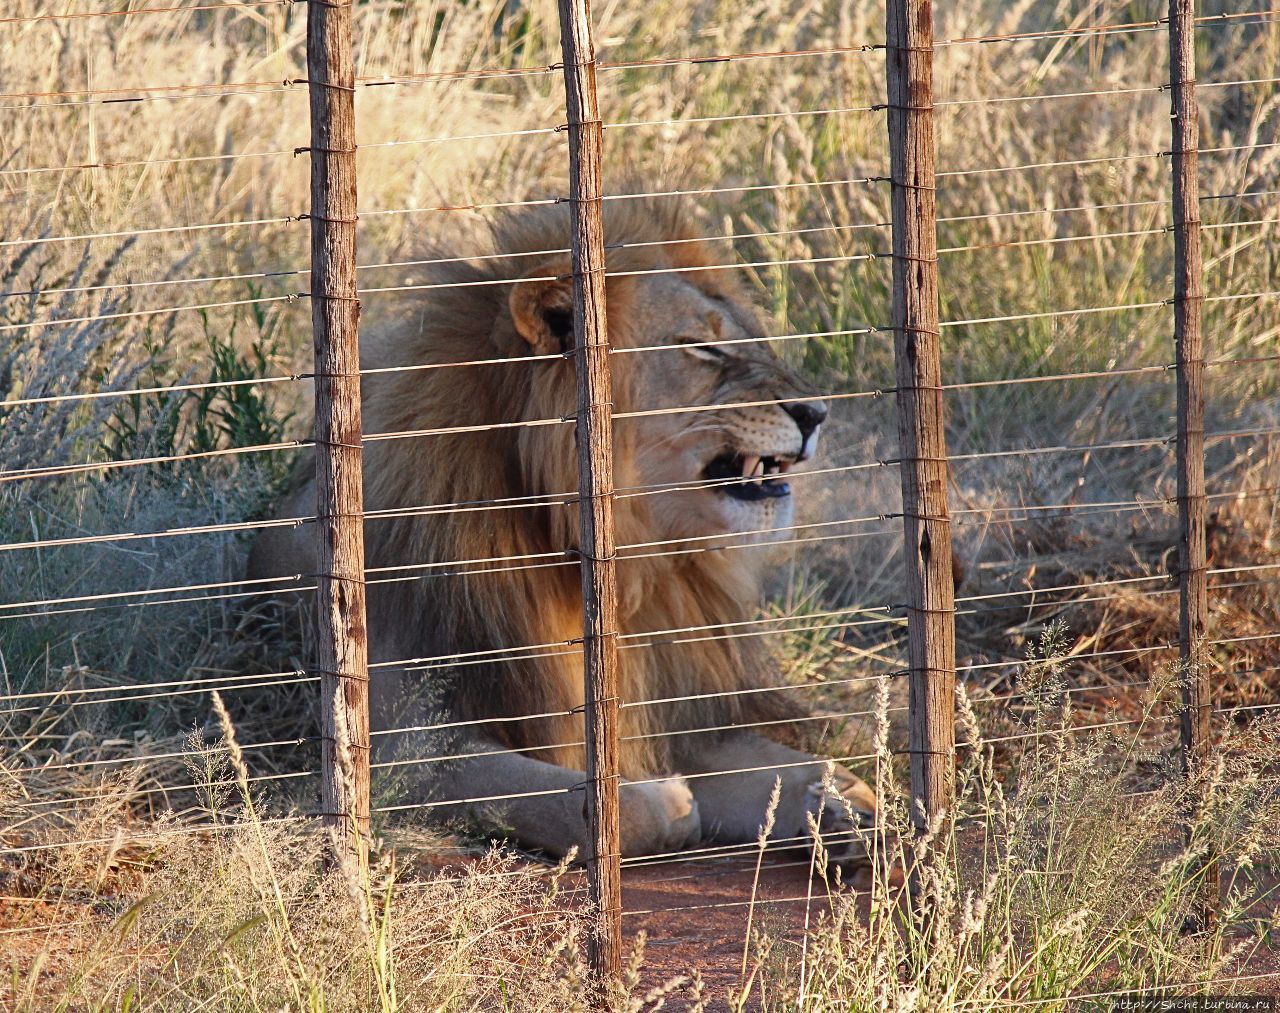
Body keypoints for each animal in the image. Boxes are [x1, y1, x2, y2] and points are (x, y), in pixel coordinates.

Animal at [247, 202, 880, 865]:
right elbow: (608, 807)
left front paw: (843, 804)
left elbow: (794, 767)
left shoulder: (669, 716)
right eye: (703, 348)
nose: (817, 414)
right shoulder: (402, 747)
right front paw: (673, 804)